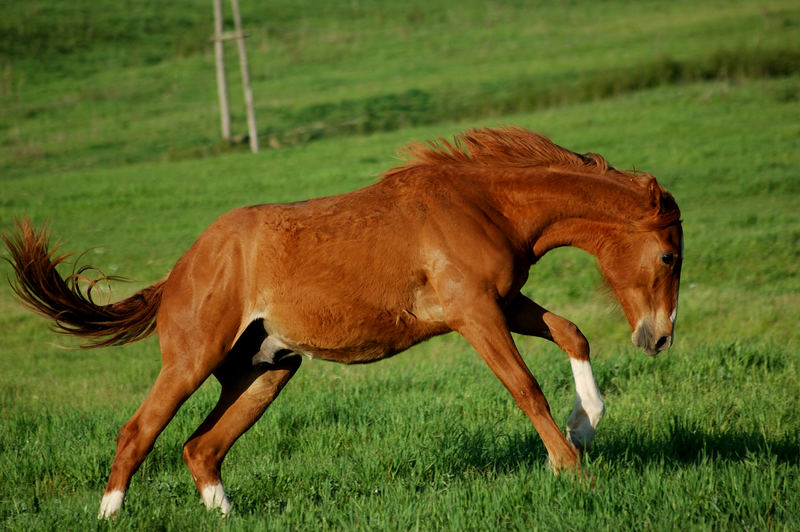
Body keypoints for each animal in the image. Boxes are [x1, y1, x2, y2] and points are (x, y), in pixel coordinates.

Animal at [3, 127, 684, 516]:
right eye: (669, 256)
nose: (658, 338)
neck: (482, 204)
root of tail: (179, 271)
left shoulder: (504, 302)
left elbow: (572, 332)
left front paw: (586, 425)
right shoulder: (474, 314)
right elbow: (525, 387)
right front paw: (572, 472)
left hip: (265, 370)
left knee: (201, 448)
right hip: (194, 359)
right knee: (138, 432)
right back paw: (110, 513)